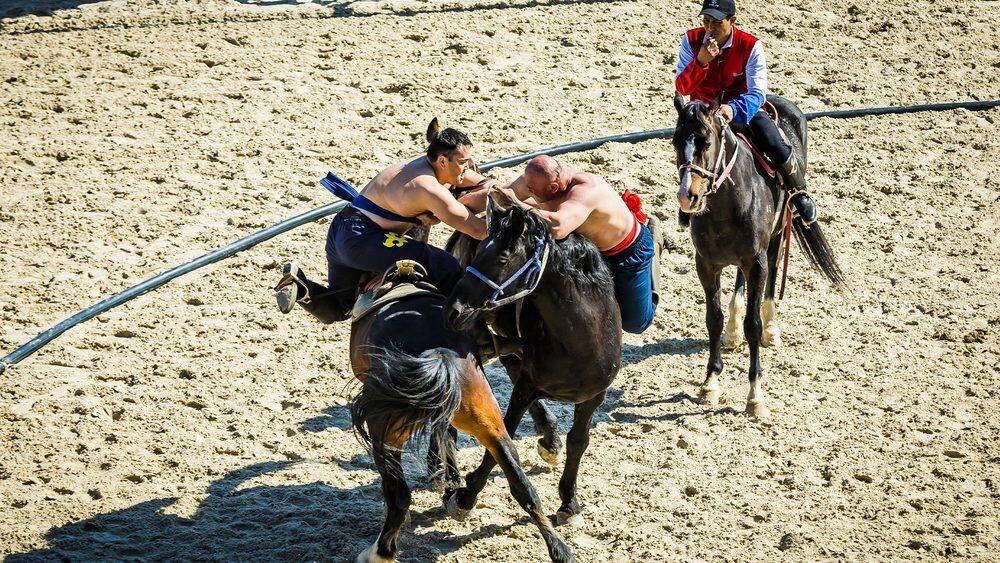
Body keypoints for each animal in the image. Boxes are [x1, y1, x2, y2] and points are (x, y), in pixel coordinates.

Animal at [350, 262, 576, 560]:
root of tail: (440, 353)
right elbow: (446, 437)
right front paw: (450, 481)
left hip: (385, 434)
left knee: (399, 496)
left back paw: (380, 552)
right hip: (491, 426)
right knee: (523, 486)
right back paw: (560, 550)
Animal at [444, 192, 620, 532]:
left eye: (502, 258)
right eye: (478, 252)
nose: (454, 310)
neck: (579, 342)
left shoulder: (594, 396)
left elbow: (579, 441)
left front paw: (569, 502)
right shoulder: (526, 387)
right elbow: (503, 438)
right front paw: (465, 498)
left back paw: (549, 439)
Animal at [672, 93, 844, 418]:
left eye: (706, 141)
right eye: (676, 141)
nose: (687, 197)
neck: (726, 204)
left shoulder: (757, 261)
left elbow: (753, 324)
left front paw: (755, 396)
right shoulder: (707, 264)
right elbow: (712, 319)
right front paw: (710, 384)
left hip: (777, 234)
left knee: (774, 271)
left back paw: (771, 328)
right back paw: (732, 331)